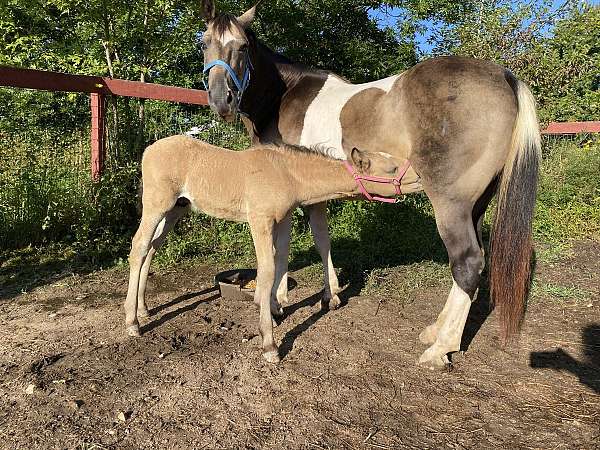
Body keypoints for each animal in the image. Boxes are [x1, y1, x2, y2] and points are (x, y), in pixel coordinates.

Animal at [124, 136, 420, 362]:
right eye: (392, 168)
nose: (421, 175)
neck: (287, 174)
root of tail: (149, 150)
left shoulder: (280, 219)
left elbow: (279, 260)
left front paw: (276, 307)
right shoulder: (260, 220)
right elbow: (266, 271)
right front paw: (269, 343)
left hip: (176, 210)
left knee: (152, 249)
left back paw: (143, 308)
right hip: (157, 205)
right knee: (139, 247)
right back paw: (132, 322)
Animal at [199, 0, 540, 370]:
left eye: (242, 46)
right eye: (204, 43)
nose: (221, 100)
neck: (284, 96)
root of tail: (505, 78)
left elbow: (283, 247)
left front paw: (276, 303)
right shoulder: (313, 193)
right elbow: (322, 238)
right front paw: (330, 295)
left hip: (451, 204)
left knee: (466, 262)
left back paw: (439, 349)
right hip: (476, 206)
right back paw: (435, 332)